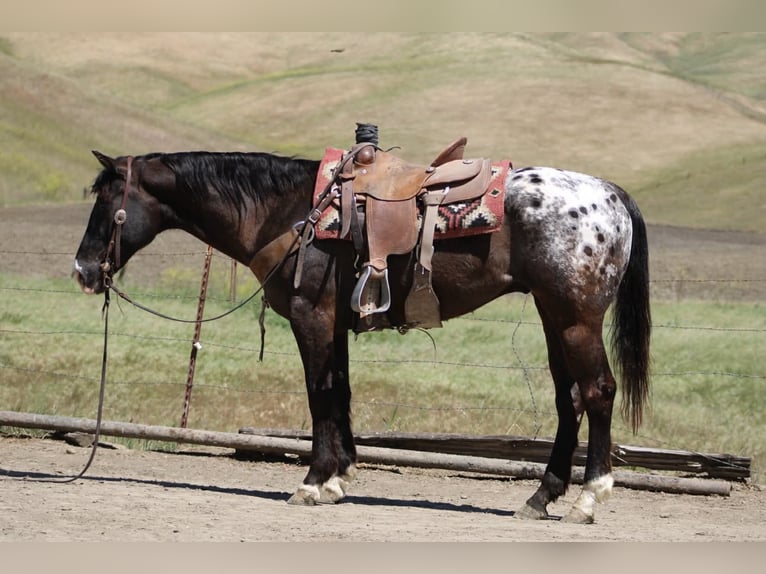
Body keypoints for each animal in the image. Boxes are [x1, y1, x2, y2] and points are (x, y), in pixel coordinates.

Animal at [73, 146, 651, 524]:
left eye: (106, 201)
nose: (82, 270)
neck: (289, 212)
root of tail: (611, 195)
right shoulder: (335, 321)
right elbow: (341, 391)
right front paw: (338, 478)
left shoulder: (311, 315)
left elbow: (318, 394)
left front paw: (312, 483)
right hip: (554, 317)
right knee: (568, 398)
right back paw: (540, 498)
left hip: (575, 318)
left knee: (598, 392)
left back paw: (588, 498)